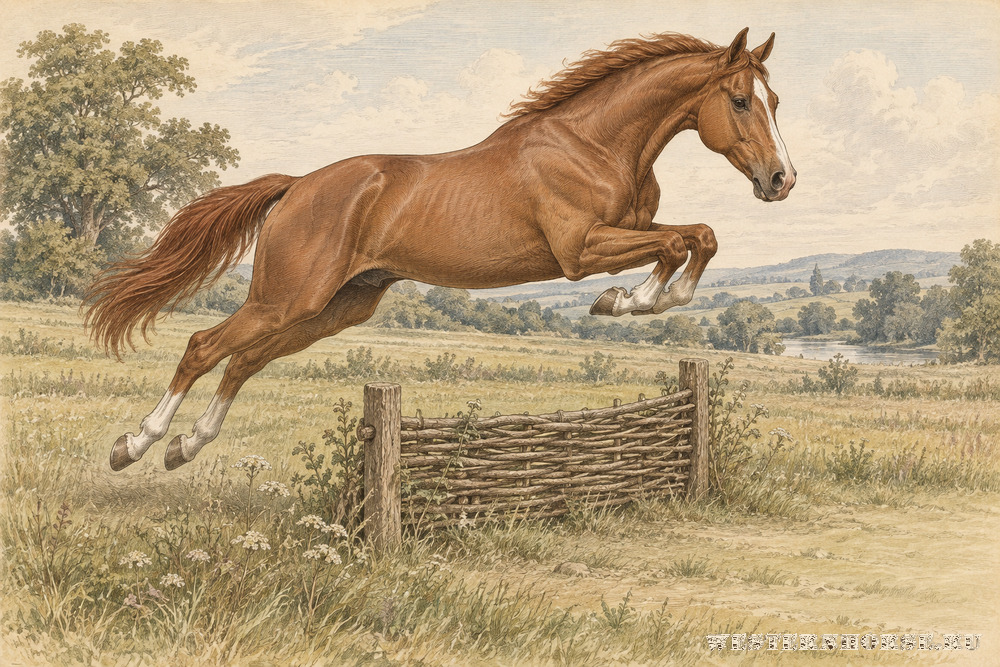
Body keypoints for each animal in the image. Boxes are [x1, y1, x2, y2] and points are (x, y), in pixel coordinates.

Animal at [84, 28, 795, 471]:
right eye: (740, 101)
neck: (593, 144)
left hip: (334, 308)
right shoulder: (579, 250)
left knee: (243, 361)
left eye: (775, 100)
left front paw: (638, 299)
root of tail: (297, 185)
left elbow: (695, 237)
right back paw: (135, 446)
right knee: (203, 347)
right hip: (287, 298)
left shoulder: (615, 236)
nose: (781, 180)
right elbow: (680, 239)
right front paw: (626, 300)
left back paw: (184, 449)